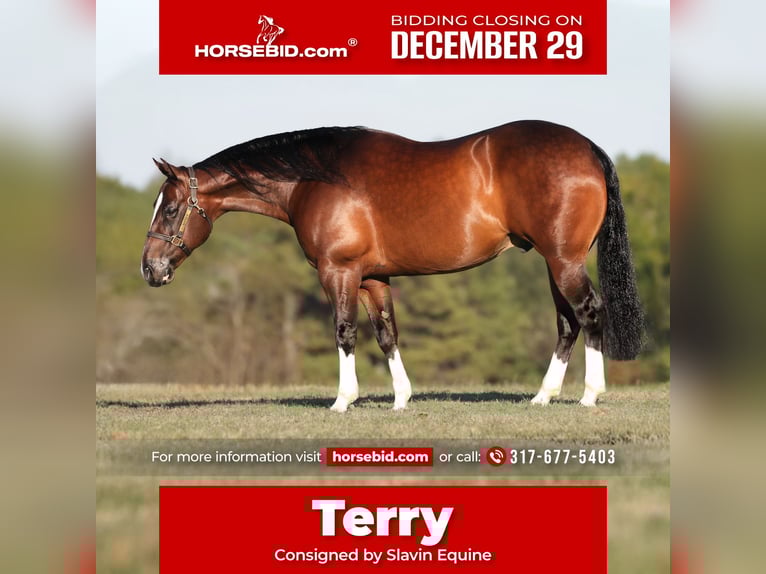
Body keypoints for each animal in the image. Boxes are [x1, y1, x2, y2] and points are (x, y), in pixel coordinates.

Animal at [141, 121, 644, 412]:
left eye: (170, 210)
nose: (150, 269)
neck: (312, 179)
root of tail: (588, 148)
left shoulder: (338, 271)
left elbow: (345, 332)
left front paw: (343, 401)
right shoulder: (373, 278)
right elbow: (386, 333)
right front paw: (401, 399)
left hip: (563, 261)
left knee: (589, 313)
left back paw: (589, 396)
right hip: (555, 262)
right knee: (567, 323)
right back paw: (543, 396)